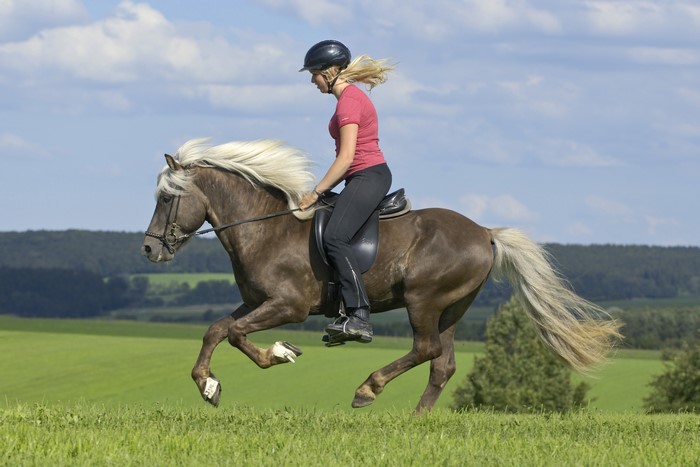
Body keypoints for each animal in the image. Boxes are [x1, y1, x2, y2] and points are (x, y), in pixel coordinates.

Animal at [141, 138, 621, 413]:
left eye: (166, 198)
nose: (148, 249)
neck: (265, 227)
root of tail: (485, 232)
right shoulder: (257, 301)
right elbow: (217, 329)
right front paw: (209, 385)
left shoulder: (288, 306)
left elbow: (236, 333)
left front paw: (277, 354)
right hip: (453, 308)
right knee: (443, 363)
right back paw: (417, 421)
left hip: (424, 299)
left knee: (426, 349)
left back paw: (368, 389)